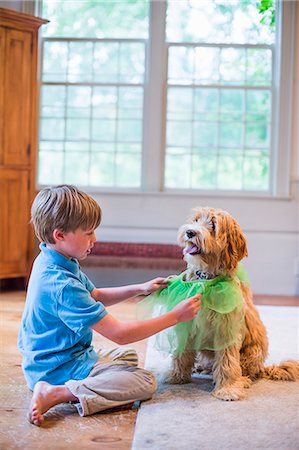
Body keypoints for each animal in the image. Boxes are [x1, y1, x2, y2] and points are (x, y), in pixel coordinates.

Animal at [166, 207, 299, 400]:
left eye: (213, 225)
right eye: (196, 220)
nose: (190, 232)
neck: (206, 280)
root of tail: (262, 368)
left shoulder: (226, 329)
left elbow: (227, 361)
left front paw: (227, 389)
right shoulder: (187, 323)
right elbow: (182, 353)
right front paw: (176, 376)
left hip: (253, 352)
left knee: (243, 370)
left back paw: (241, 380)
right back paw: (201, 367)